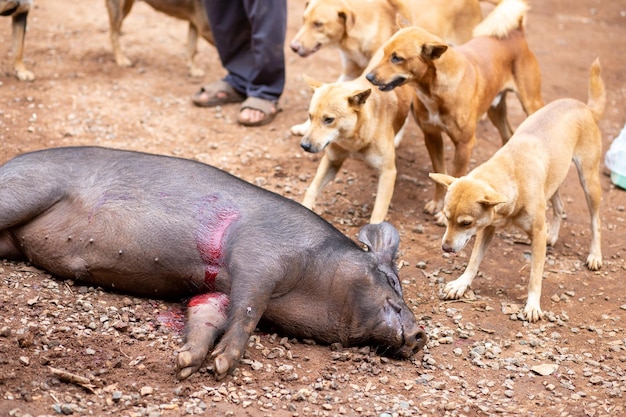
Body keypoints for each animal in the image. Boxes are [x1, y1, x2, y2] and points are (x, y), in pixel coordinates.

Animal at [0, 147, 424, 380]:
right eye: (391, 280)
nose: (421, 334)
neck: (312, 281)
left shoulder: (215, 288)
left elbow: (210, 313)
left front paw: (186, 363)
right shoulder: (260, 258)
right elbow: (248, 311)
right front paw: (221, 366)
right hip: (25, 190)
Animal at [288, 0, 488, 135]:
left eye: (318, 24)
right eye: (304, 20)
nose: (293, 47)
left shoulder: (399, 76)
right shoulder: (350, 72)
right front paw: (306, 126)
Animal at [298, 50, 414, 224]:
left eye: (329, 120)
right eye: (310, 116)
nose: (304, 146)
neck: (353, 140)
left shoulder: (388, 173)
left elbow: (377, 215)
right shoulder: (332, 160)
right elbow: (311, 189)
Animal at [366, 0, 540, 224]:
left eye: (397, 58)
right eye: (384, 52)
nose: (369, 77)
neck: (433, 90)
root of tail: (516, 33)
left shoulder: (464, 145)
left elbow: (456, 177)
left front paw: (443, 214)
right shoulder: (432, 136)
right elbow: (440, 174)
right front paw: (438, 205)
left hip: (531, 104)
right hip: (495, 109)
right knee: (508, 135)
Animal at [426, 57, 604, 320]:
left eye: (465, 223)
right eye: (446, 218)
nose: (445, 248)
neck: (511, 175)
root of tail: (584, 106)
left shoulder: (535, 234)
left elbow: (534, 275)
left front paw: (532, 305)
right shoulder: (487, 229)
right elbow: (473, 261)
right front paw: (461, 284)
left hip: (589, 182)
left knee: (595, 221)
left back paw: (595, 255)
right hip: (554, 179)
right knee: (559, 206)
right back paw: (554, 235)